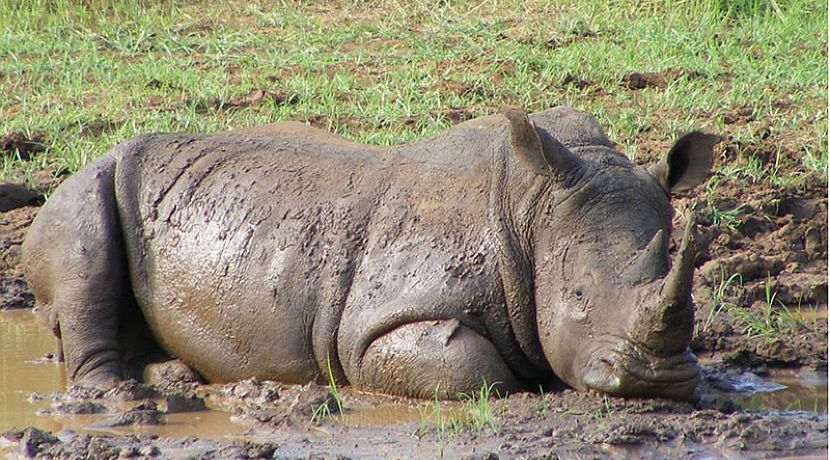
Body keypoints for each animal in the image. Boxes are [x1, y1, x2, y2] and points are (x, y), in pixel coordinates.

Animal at [23, 107, 718, 401]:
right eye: (575, 297)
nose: (661, 382)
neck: (532, 209)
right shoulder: (376, 322)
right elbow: (470, 372)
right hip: (89, 180)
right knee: (84, 259)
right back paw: (118, 399)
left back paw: (172, 377)